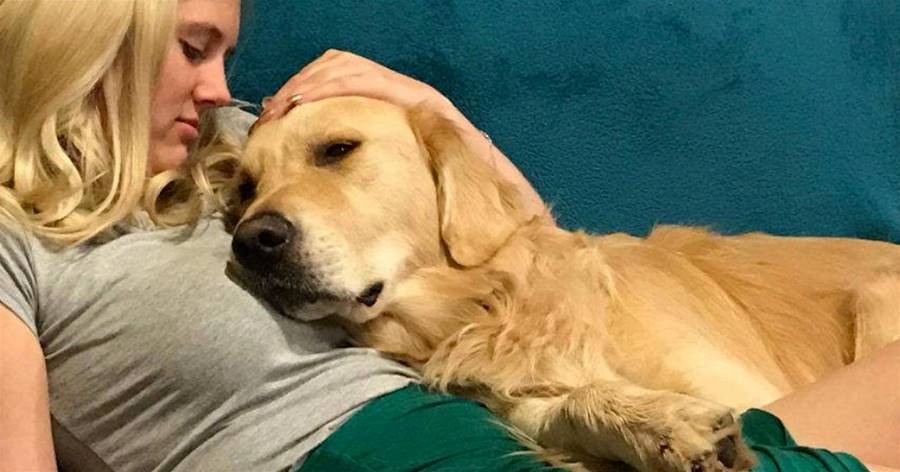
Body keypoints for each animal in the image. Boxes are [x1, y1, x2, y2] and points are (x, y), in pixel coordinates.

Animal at [226, 96, 900, 471]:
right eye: (244, 190)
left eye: (337, 149)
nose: (250, 242)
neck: (485, 311)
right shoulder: (516, 403)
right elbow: (562, 407)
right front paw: (656, 426)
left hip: (876, 297)